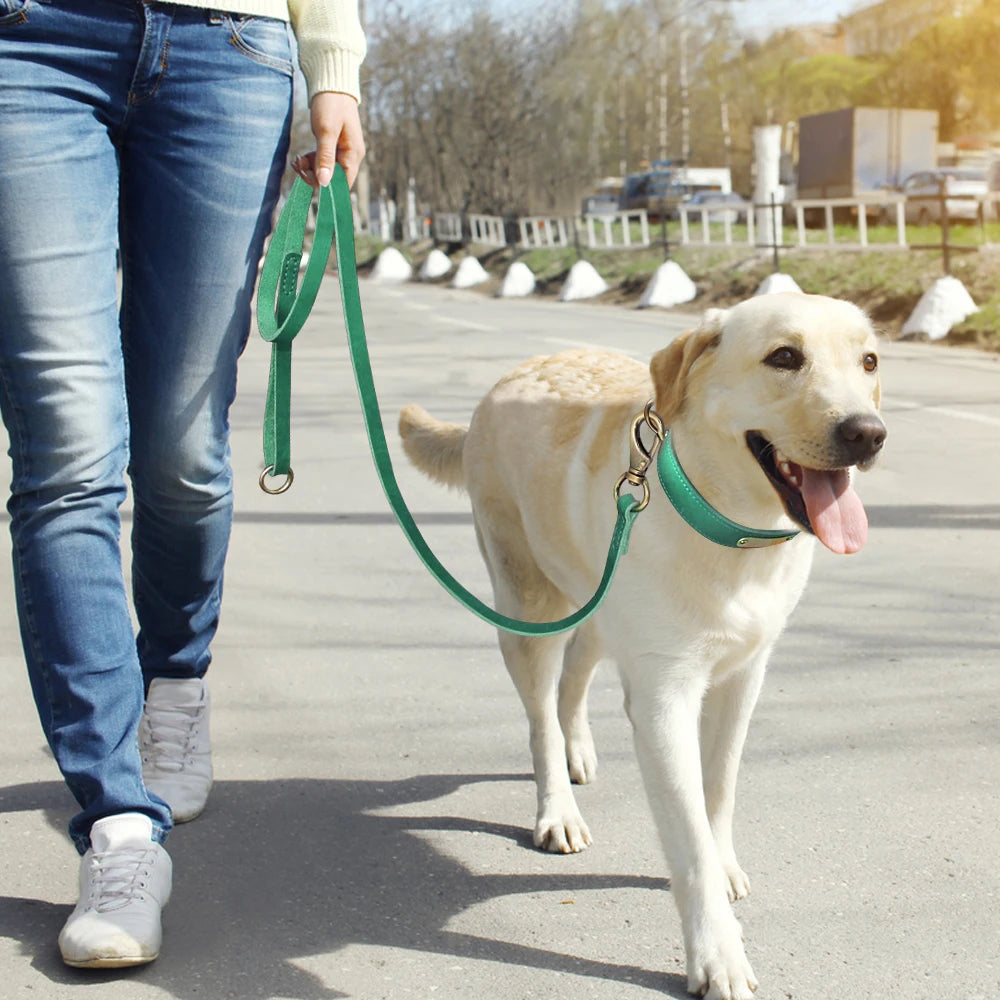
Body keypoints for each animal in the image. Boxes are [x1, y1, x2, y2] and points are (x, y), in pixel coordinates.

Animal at [398, 294, 884, 1000]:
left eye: (869, 361)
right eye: (784, 357)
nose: (867, 434)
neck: (729, 530)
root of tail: (511, 377)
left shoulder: (743, 678)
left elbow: (719, 791)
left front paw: (724, 862)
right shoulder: (664, 700)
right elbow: (688, 836)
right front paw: (717, 954)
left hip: (599, 604)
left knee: (574, 679)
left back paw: (577, 751)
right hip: (526, 607)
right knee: (540, 714)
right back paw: (557, 807)